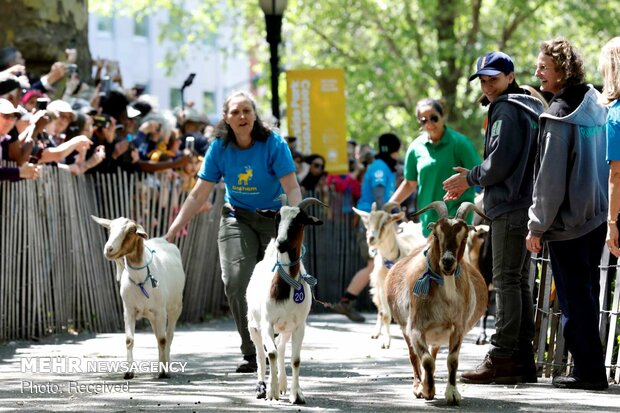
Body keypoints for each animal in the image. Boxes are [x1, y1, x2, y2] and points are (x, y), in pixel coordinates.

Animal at [246, 196, 326, 402]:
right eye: (276, 218)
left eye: (300, 220)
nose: (281, 243)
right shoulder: (267, 323)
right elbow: (271, 353)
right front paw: (272, 392)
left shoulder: (299, 325)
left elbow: (295, 359)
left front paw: (296, 395)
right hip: (253, 325)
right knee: (261, 353)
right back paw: (262, 387)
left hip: (285, 328)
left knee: (281, 349)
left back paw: (283, 384)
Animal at [354, 200, 426, 348]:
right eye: (368, 223)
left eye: (385, 222)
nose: (371, 239)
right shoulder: (382, 286)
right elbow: (385, 314)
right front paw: (386, 341)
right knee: (380, 309)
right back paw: (376, 332)